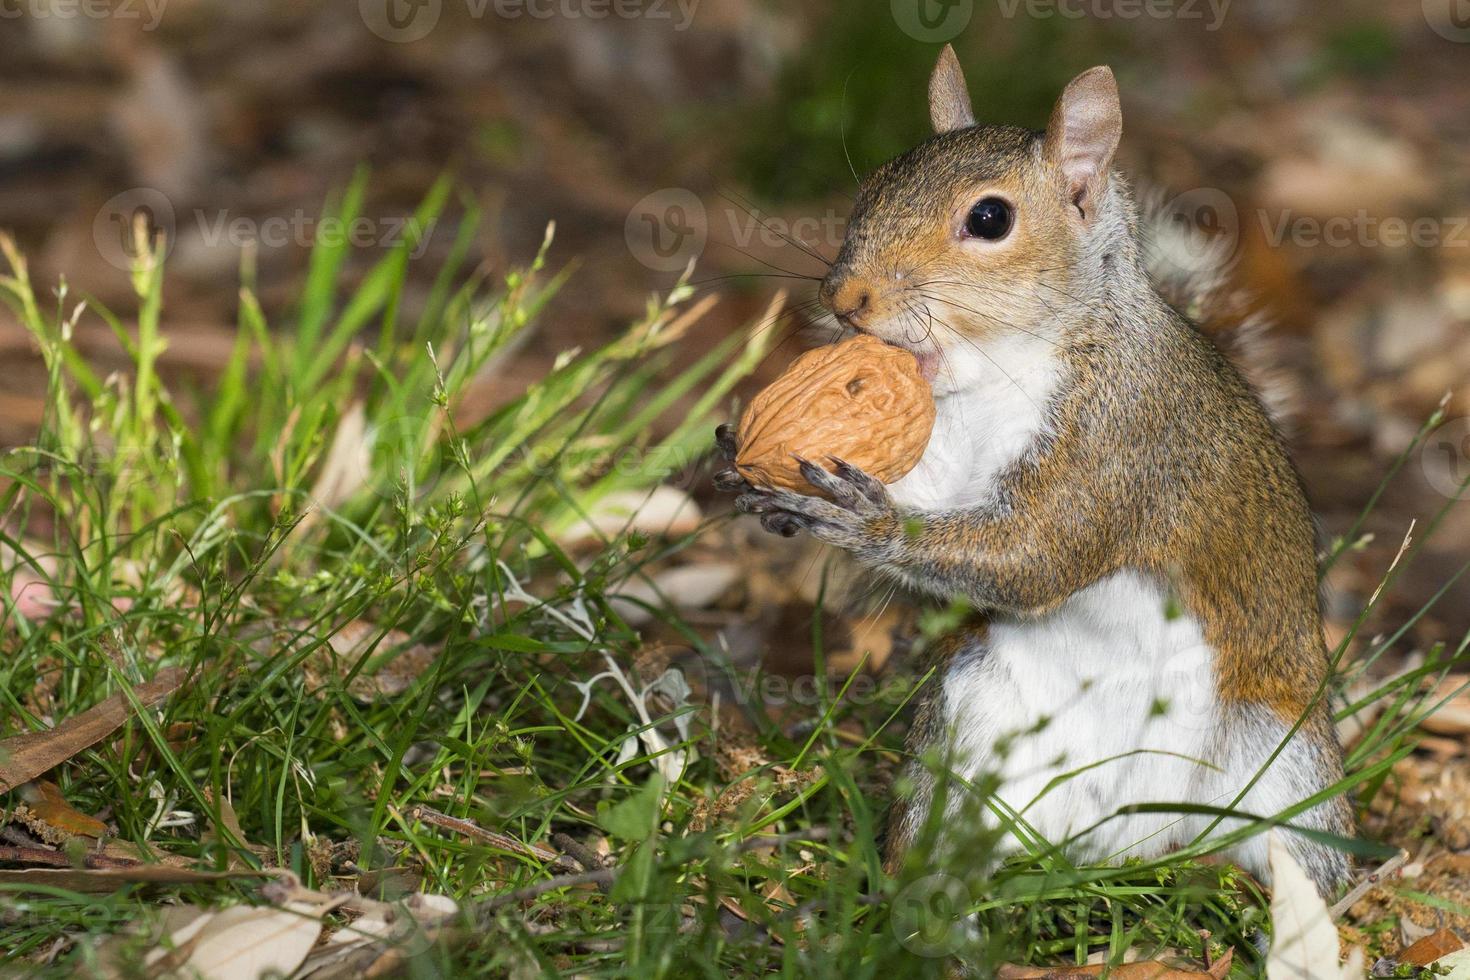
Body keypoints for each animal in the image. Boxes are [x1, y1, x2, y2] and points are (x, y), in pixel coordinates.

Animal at [714, 45, 1352, 893]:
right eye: (876, 182)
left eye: (990, 219)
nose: (844, 297)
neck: (1000, 367)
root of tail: (1117, 850)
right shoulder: (942, 446)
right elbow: (935, 493)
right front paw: (759, 472)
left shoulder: (1123, 438)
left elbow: (1039, 553)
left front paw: (868, 523)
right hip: (966, 718)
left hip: (1287, 764)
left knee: (1305, 855)